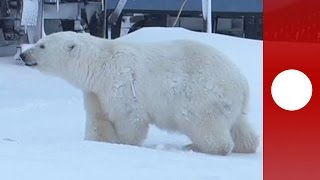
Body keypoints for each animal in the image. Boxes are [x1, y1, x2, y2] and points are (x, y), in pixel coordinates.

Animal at [20, 31, 258, 155]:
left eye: (41, 45)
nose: (23, 54)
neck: (99, 64)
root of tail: (242, 84)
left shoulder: (119, 82)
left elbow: (129, 118)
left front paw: (124, 144)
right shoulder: (96, 92)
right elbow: (99, 119)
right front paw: (95, 142)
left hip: (201, 95)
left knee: (201, 123)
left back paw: (198, 146)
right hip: (230, 103)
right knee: (241, 126)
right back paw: (246, 145)